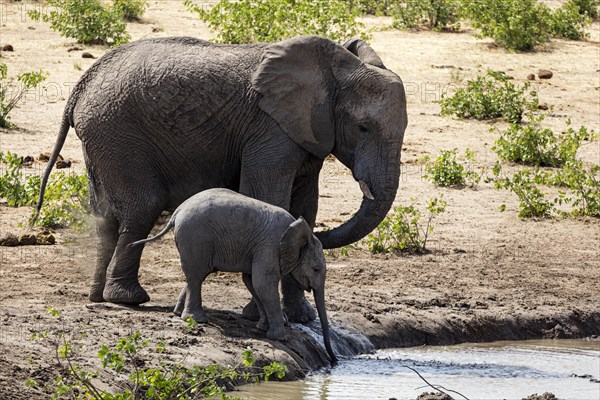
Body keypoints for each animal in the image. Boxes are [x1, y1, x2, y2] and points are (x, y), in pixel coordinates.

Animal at [34, 35, 408, 322]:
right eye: (363, 127)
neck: (336, 69)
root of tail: (81, 86)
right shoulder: (271, 129)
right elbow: (269, 197)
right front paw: (258, 315)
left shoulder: (307, 134)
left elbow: (305, 206)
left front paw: (301, 318)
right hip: (117, 133)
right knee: (141, 208)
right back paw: (128, 299)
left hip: (101, 139)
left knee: (106, 216)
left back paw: (98, 297)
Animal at [130, 189, 338, 360]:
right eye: (316, 269)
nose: (333, 360)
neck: (299, 230)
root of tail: (178, 211)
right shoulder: (270, 246)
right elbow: (263, 284)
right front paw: (281, 337)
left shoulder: (260, 248)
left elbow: (252, 282)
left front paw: (263, 328)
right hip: (195, 238)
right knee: (197, 276)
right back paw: (196, 319)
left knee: (194, 276)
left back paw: (179, 313)